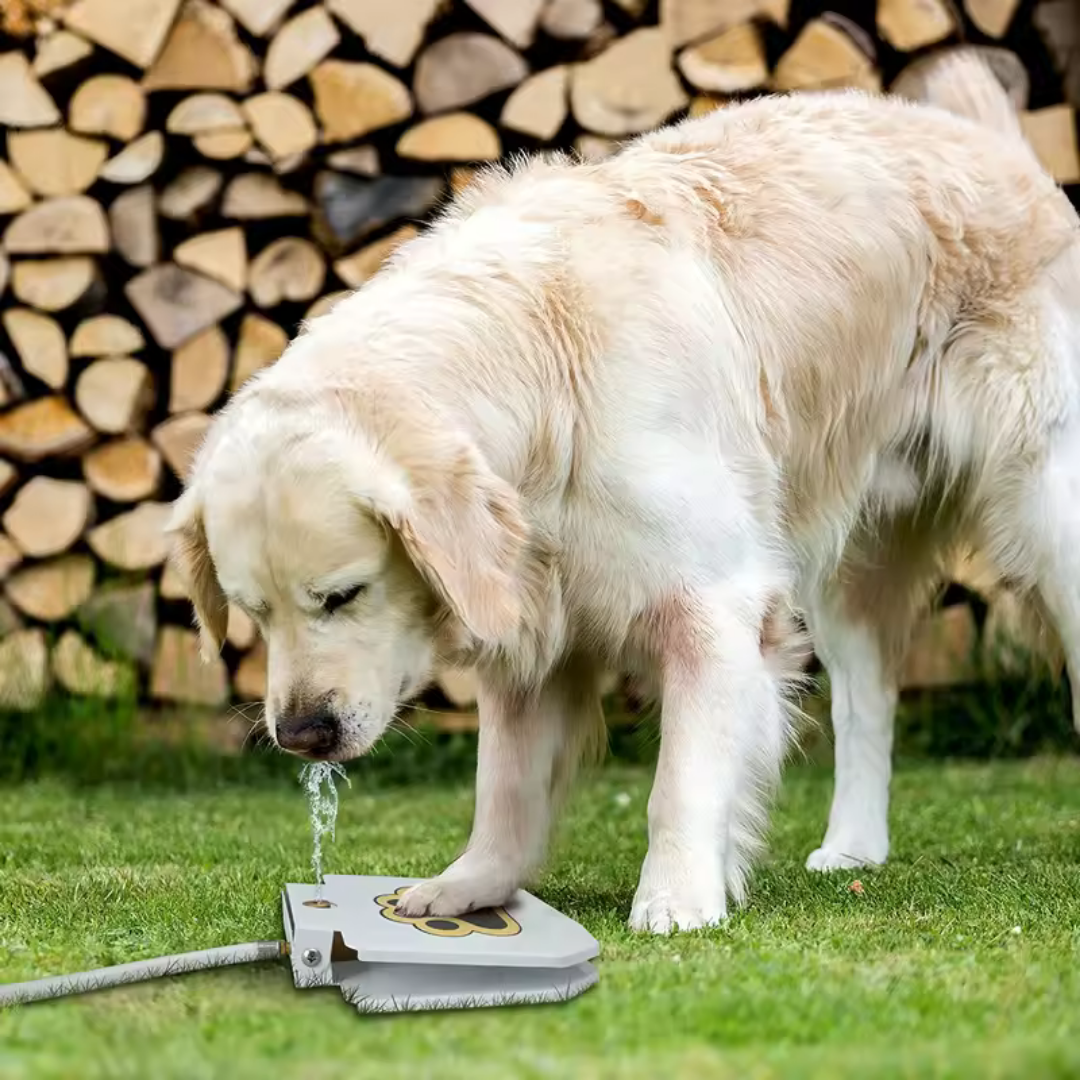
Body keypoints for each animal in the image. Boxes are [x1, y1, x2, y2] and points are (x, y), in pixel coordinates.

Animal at [164, 61, 1075, 937]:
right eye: (253, 615)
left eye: (344, 596)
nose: (300, 735)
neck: (539, 370)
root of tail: (998, 145)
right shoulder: (532, 619)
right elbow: (505, 787)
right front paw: (470, 886)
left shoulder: (711, 603)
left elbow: (679, 782)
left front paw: (676, 900)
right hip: (845, 559)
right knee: (865, 701)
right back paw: (851, 848)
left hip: (1047, 513)